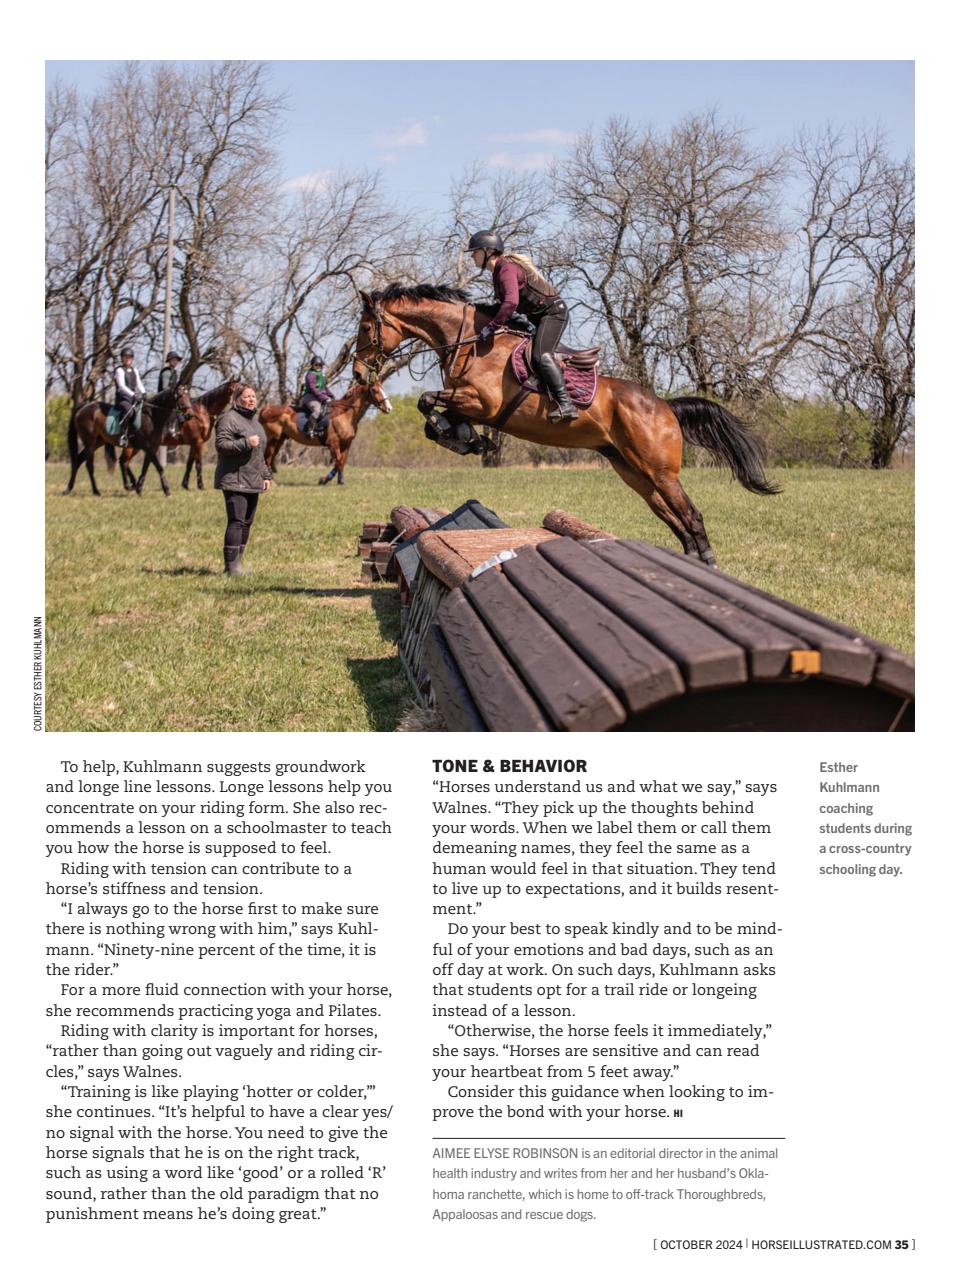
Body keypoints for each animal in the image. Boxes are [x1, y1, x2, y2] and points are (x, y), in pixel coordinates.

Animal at [258, 378, 393, 486]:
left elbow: (341, 462)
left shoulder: (346, 444)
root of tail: (265, 409)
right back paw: (271, 483)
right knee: (267, 458)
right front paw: (331, 480)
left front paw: (331, 480)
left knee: (270, 458)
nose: (389, 408)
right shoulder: (333, 443)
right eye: (375, 390)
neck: (345, 414)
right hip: (273, 439)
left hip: (280, 439)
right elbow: (339, 461)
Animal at [352, 285, 779, 564]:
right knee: (673, 517)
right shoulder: (467, 404)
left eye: (364, 329)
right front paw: (466, 440)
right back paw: (689, 562)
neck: (472, 341)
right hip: (635, 473)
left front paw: (464, 439)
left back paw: (707, 562)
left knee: (691, 515)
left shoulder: (482, 403)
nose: (357, 373)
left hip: (660, 471)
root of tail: (665, 407)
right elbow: (433, 414)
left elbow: (427, 401)